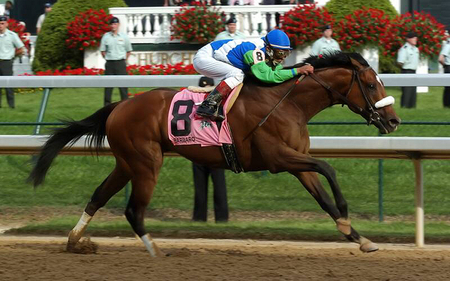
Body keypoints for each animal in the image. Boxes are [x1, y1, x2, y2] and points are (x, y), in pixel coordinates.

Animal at [29, 51, 400, 255]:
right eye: (370, 84)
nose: (393, 120)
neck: (288, 102)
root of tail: (120, 105)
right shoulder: (278, 159)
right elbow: (328, 167)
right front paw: (347, 218)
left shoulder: (296, 163)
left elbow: (322, 195)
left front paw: (359, 237)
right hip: (147, 162)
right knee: (134, 210)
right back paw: (157, 253)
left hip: (126, 162)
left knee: (98, 196)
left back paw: (75, 241)